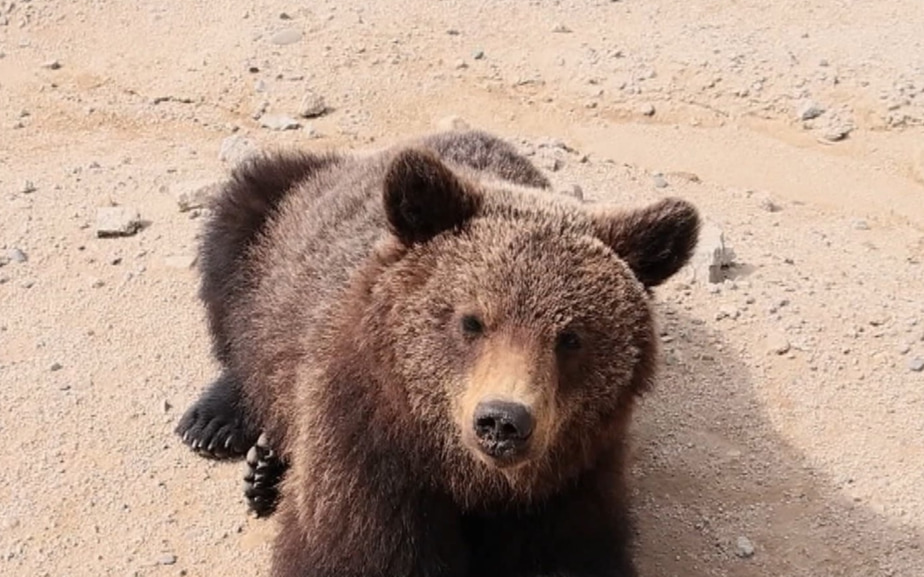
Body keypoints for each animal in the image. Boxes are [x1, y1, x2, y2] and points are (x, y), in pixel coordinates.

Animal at [175, 129, 700, 577]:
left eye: (571, 336)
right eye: (471, 321)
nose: (503, 421)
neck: (468, 477)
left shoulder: (574, 475)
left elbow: (571, 554)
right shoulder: (370, 449)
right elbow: (357, 553)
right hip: (277, 232)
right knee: (234, 251)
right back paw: (220, 427)